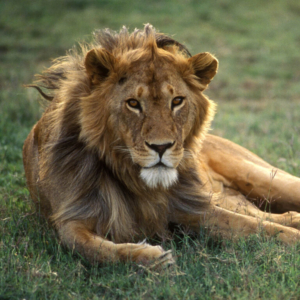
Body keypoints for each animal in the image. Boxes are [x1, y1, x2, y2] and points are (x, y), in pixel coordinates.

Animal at [22, 23, 300, 268]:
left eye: (177, 101)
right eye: (133, 103)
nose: (161, 147)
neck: (137, 183)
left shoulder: (191, 207)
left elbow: (263, 229)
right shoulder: (71, 218)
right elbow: (93, 249)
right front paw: (152, 258)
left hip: (264, 178)